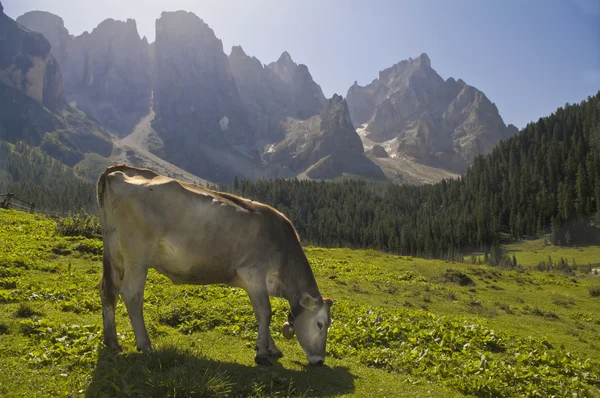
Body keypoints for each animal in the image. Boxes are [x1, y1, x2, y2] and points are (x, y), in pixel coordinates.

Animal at [96, 163, 336, 366]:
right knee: (132, 294)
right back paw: (145, 345)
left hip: (114, 252)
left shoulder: (250, 282)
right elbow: (265, 313)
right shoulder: (253, 272)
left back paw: (112, 342)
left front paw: (271, 348)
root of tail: (116, 171)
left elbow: (259, 312)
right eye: (320, 324)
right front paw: (261, 354)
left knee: (108, 290)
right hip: (138, 255)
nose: (319, 360)